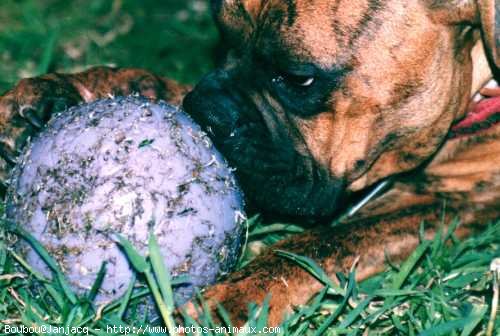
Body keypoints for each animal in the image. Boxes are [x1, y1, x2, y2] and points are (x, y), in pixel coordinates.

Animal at [0, 0, 500, 326]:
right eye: (222, 36)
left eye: (299, 79)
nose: (209, 113)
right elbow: (164, 84)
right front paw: (67, 88)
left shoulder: (453, 201)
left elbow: (324, 242)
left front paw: (235, 294)